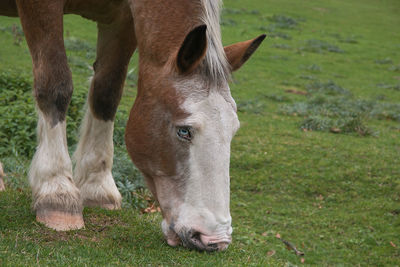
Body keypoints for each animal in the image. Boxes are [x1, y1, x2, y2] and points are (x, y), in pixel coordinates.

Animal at [0, 0, 266, 253]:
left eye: (233, 130)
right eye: (184, 131)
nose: (213, 240)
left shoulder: (122, 19)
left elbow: (107, 92)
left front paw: (98, 188)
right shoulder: (42, 7)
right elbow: (55, 85)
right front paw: (57, 191)